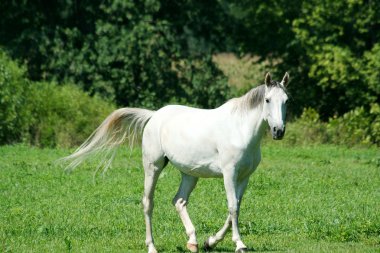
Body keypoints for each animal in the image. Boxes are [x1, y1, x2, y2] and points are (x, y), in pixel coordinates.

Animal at [63, 72, 288, 252]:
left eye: (286, 100)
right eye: (267, 100)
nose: (278, 131)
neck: (239, 130)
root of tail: (154, 116)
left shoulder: (244, 177)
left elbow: (235, 208)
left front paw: (211, 242)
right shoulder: (229, 173)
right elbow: (233, 207)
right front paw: (239, 244)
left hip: (190, 174)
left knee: (179, 201)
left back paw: (193, 242)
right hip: (153, 167)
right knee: (148, 202)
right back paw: (152, 246)